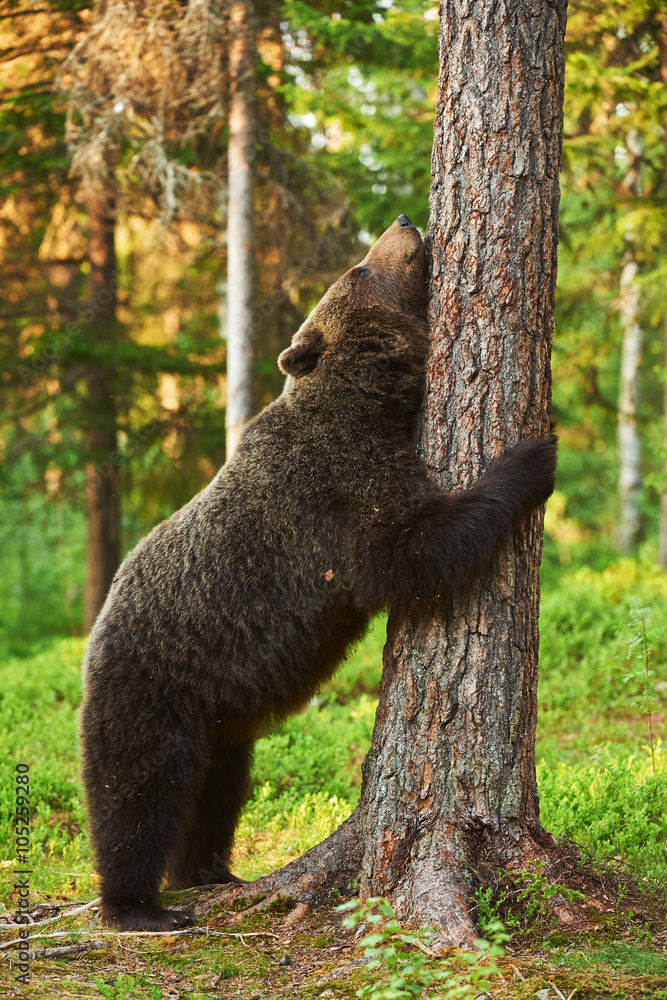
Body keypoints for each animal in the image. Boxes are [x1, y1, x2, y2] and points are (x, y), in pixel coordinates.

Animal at [80, 214, 557, 932]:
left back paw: (210, 870)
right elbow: (415, 556)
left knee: (217, 789)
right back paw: (139, 905)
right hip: (150, 685)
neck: (364, 405)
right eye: (358, 269)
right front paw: (532, 457)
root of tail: (94, 630)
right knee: (136, 793)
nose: (403, 221)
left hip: (219, 715)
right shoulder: (335, 491)